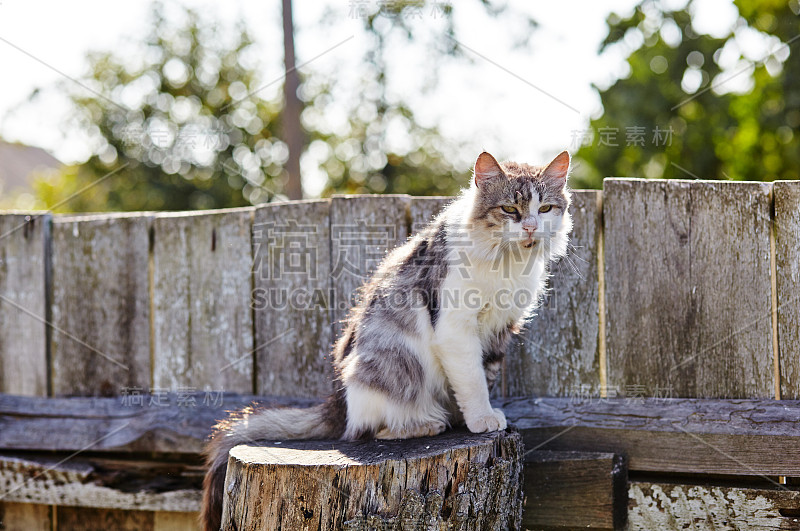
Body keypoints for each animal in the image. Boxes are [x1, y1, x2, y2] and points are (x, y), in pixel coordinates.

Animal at [202, 151, 576, 531]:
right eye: (510, 210)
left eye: (545, 208)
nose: (530, 227)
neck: (508, 262)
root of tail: (337, 402)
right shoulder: (455, 328)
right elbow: (472, 382)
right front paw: (481, 419)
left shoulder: (500, 328)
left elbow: (482, 376)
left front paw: (471, 419)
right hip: (386, 366)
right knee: (370, 430)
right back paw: (424, 424)